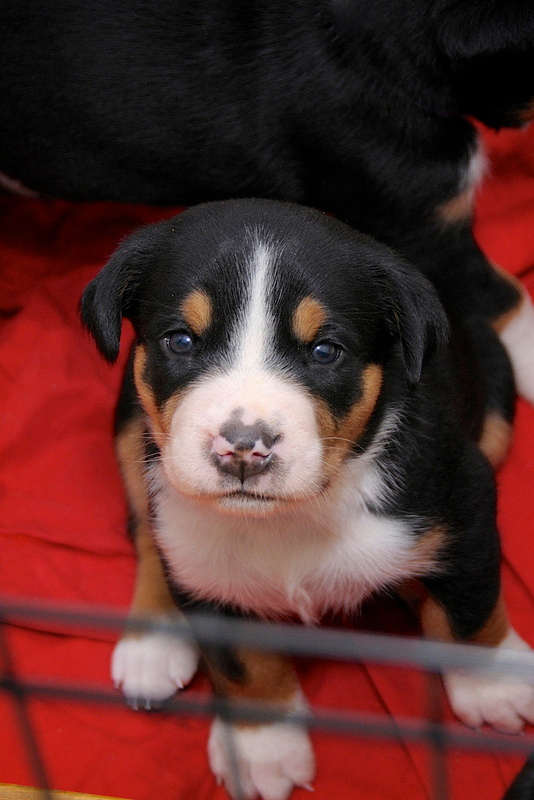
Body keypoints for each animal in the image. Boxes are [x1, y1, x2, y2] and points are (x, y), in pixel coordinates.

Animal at [80, 200, 534, 800]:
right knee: (149, 532)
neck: (294, 514)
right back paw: (152, 639)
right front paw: (262, 749)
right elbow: (244, 667)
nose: (243, 446)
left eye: (325, 352)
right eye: (181, 341)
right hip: (134, 428)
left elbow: (470, 612)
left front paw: (493, 688)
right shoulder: (209, 570)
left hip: (496, 399)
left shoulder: (466, 501)